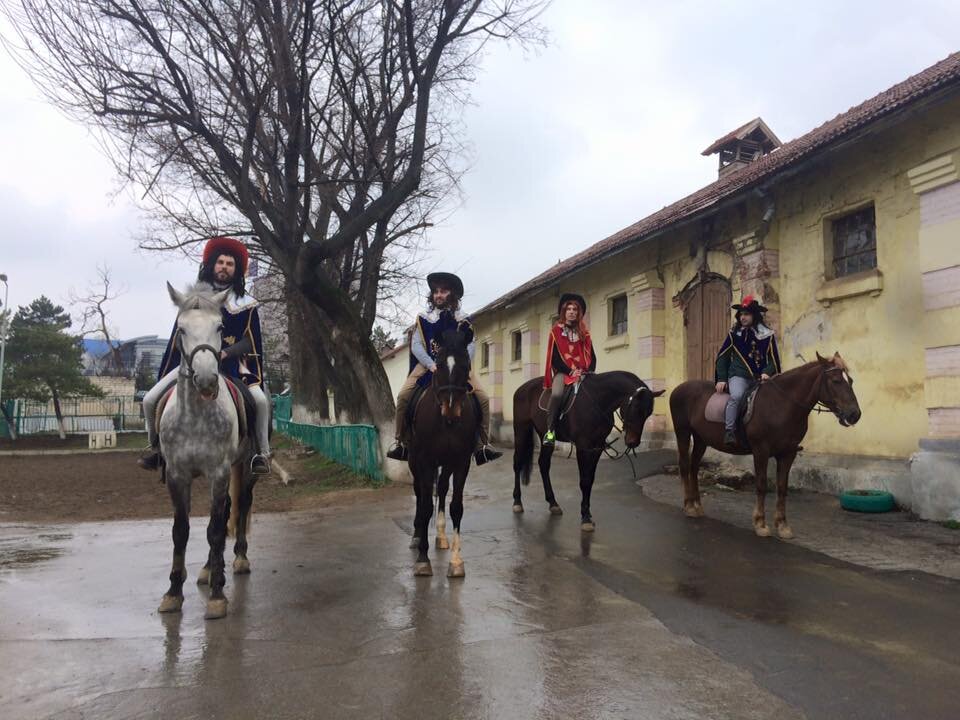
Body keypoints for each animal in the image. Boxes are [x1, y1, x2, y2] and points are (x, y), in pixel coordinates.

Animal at [154, 282, 253, 620]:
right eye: (181, 329)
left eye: (220, 327)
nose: (208, 380)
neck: (195, 416)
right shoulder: (176, 475)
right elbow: (181, 530)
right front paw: (172, 592)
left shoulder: (219, 472)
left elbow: (215, 530)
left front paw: (218, 596)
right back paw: (210, 569)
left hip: (246, 466)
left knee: (241, 506)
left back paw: (238, 560)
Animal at [406, 332, 478, 580]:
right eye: (438, 364)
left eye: (465, 365)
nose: (450, 409)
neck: (445, 423)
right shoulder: (425, 462)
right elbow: (426, 505)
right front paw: (422, 560)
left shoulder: (461, 462)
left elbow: (456, 507)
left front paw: (456, 562)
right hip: (414, 463)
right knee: (420, 494)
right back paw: (417, 536)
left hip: (446, 464)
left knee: (443, 489)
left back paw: (441, 536)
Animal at [512, 374, 664, 532]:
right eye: (635, 408)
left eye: (649, 413)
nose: (633, 442)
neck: (598, 400)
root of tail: (522, 388)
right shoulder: (583, 447)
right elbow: (584, 481)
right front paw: (585, 517)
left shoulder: (597, 447)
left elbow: (590, 480)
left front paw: (587, 514)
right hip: (521, 430)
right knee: (517, 463)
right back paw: (517, 502)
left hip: (543, 435)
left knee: (543, 464)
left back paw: (553, 503)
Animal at [668, 352, 864, 536]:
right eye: (836, 381)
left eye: (851, 380)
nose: (854, 414)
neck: (781, 404)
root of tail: (678, 389)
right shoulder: (761, 451)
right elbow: (761, 485)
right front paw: (760, 523)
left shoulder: (788, 453)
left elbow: (782, 487)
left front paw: (783, 525)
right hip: (683, 433)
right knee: (685, 466)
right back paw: (688, 506)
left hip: (701, 439)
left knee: (694, 468)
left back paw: (697, 506)